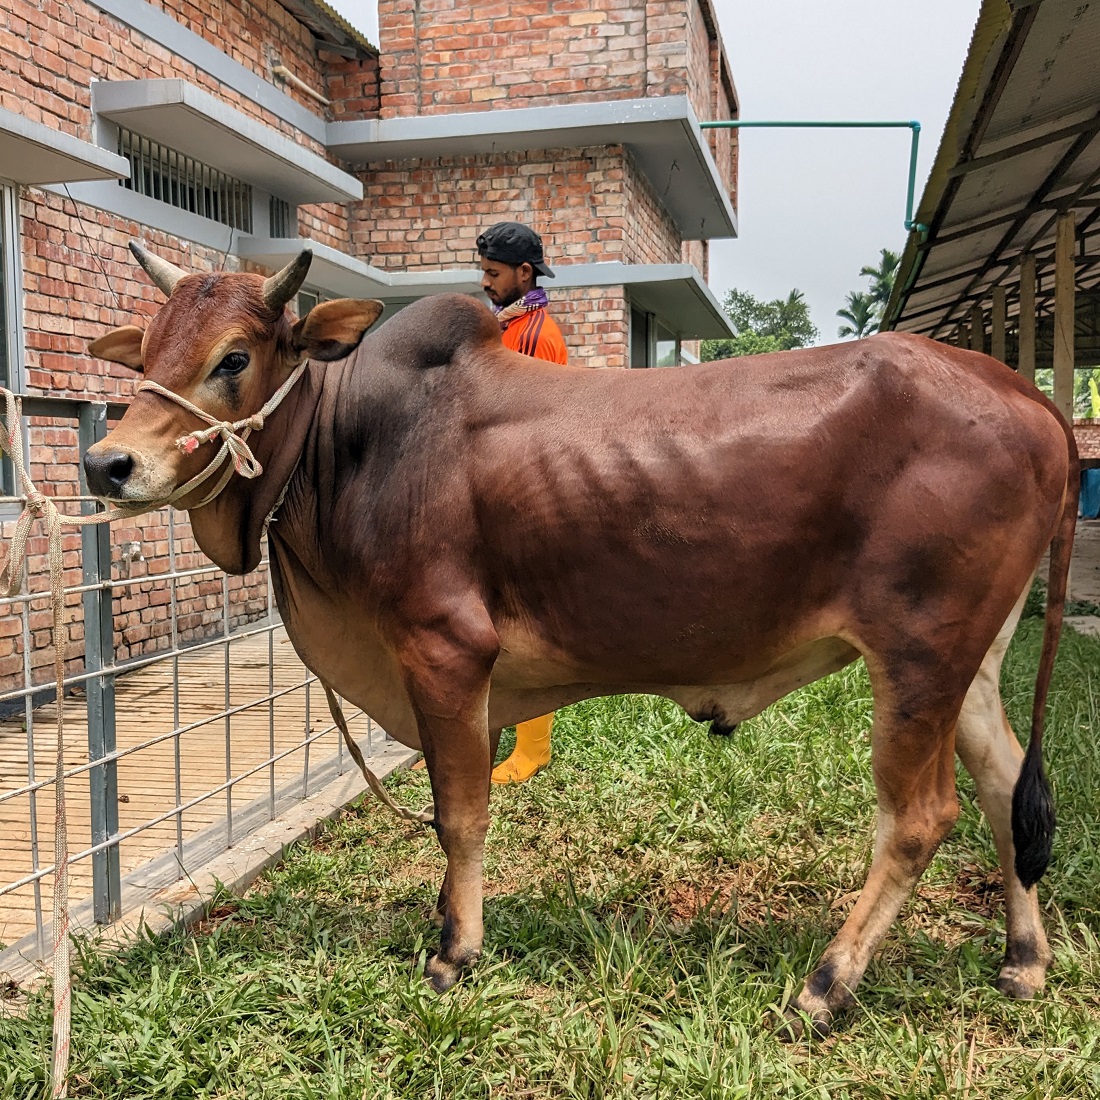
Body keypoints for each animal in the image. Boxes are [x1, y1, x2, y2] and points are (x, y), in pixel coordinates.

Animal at [83, 245, 1073, 1034]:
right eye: (152, 348)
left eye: (234, 357)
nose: (106, 464)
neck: (350, 446)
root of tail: (1029, 397)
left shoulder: (445, 651)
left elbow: (461, 813)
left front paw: (454, 952)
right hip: (971, 660)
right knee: (1003, 785)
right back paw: (1022, 961)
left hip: (917, 653)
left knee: (920, 818)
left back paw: (826, 986)